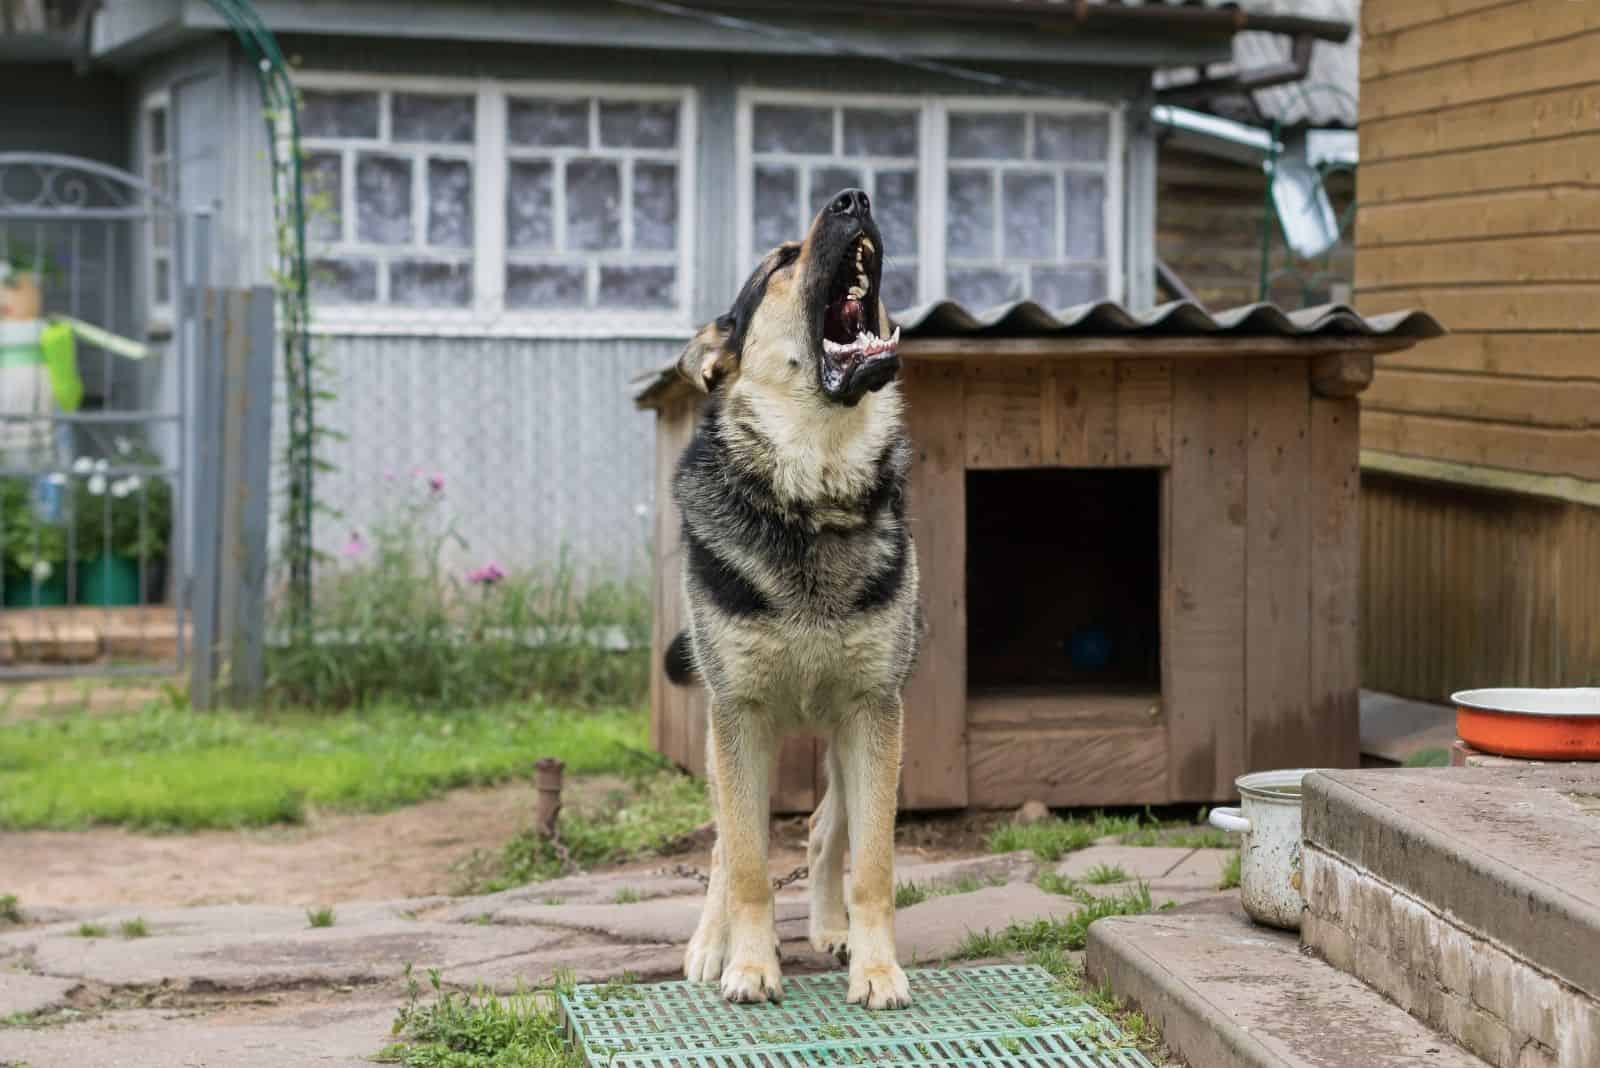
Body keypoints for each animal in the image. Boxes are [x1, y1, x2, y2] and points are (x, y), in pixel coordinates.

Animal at [662, 185, 921, 1010]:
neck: (812, 491)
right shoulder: (740, 716)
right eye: (781, 261)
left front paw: (876, 967)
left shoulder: (873, 714)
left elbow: (872, 864)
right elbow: (745, 862)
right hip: (731, 742)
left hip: (855, 739)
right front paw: (747, 965)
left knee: (823, 830)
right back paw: (712, 945)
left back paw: (832, 929)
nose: (855, 196)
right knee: (724, 844)